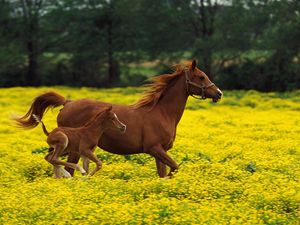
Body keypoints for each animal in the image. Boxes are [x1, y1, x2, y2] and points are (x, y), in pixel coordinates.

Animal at [14, 59, 223, 178]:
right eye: (201, 77)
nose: (218, 93)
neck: (162, 113)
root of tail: (68, 102)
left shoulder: (160, 152)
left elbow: (163, 173)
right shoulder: (154, 148)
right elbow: (174, 168)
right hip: (73, 148)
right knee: (65, 166)